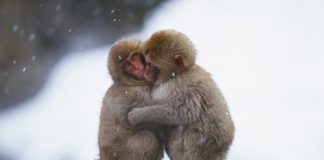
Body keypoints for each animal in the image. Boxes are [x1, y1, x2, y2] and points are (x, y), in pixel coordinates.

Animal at [128, 30, 234, 160]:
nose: (146, 72)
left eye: (151, 65)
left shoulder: (183, 87)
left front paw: (138, 115)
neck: (178, 74)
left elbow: (183, 112)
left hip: (188, 151)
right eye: (146, 63)